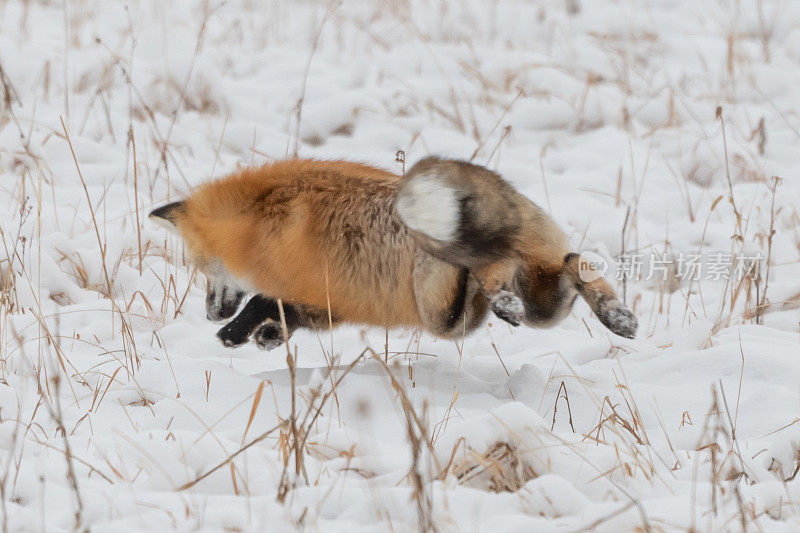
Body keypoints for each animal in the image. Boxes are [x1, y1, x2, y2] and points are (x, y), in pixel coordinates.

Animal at [150, 158, 636, 350]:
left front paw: (234, 333)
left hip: (444, 313)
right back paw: (616, 316)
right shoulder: (331, 305)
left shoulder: (314, 289)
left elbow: (262, 301)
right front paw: (266, 336)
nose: (209, 313)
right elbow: (285, 314)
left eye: (202, 268)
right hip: (544, 309)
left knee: (493, 268)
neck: (263, 225)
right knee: (576, 264)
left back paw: (505, 299)